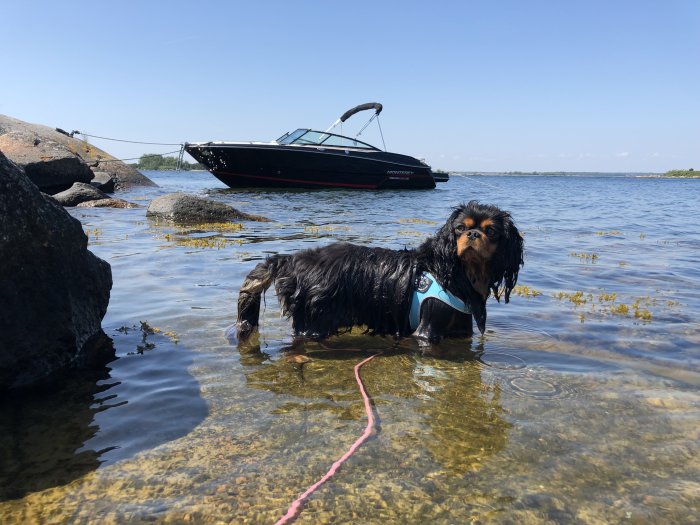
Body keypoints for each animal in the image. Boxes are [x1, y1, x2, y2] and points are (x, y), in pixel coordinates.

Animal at [237, 201, 524, 344]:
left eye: (490, 231)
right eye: (460, 229)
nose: (473, 235)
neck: (456, 271)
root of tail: (294, 259)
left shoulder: (461, 330)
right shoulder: (428, 329)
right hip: (314, 320)